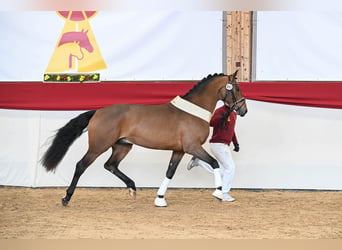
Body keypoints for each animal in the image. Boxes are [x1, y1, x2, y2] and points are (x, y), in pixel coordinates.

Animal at [41, 71, 247, 207]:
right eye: (236, 88)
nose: (243, 110)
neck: (193, 111)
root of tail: (98, 112)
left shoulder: (179, 150)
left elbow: (169, 172)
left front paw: (160, 199)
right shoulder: (192, 147)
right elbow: (214, 163)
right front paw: (219, 192)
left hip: (122, 146)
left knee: (110, 165)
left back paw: (132, 187)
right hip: (98, 146)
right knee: (81, 166)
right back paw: (66, 198)